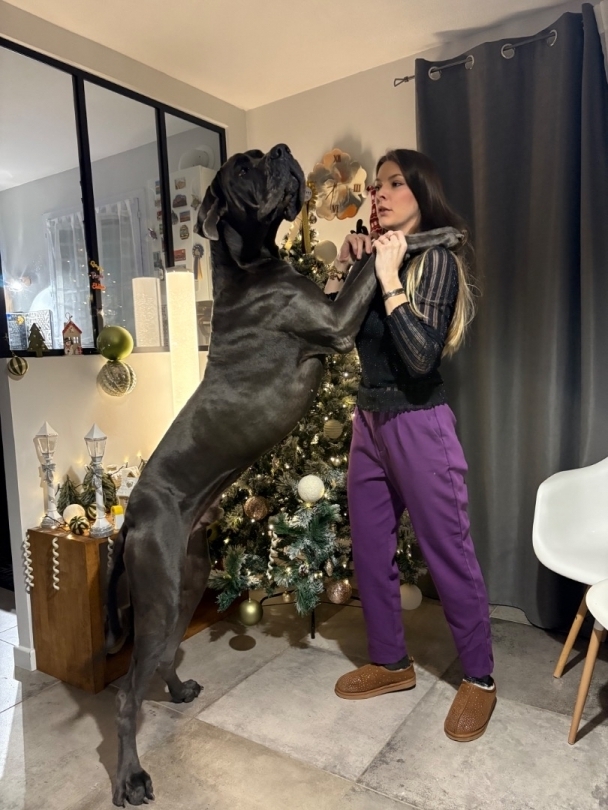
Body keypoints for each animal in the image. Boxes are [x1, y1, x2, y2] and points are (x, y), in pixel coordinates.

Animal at [105, 144, 378, 806]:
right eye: (246, 168)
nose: (279, 152)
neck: (249, 267)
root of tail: (131, 519)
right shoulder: (336, 323)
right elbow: (370, 268)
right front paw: (428, 233)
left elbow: (356, 264)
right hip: (156, 595)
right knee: (125, 696)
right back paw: (132, 778)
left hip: (185, 581)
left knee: (162, 658)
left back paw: (178, 691)